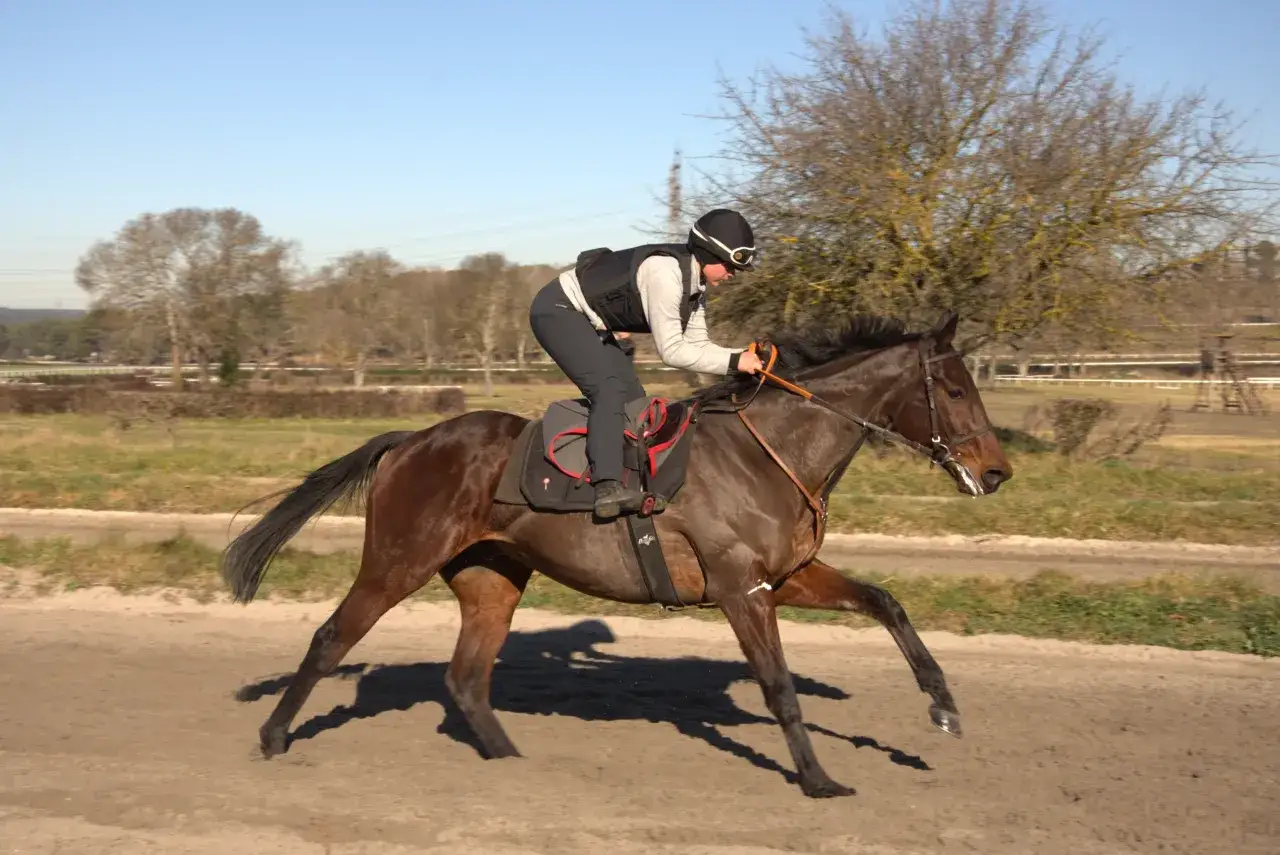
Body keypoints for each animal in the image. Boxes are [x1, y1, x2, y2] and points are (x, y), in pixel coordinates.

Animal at [220, 310, 1012, 798]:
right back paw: (272, 735)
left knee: (467, 677)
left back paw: (510, 761)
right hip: (396, 560)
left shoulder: (785, 577)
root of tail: (409, 440)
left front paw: (943, 708)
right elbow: (779, 687)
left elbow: (887, 602)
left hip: (492, 578)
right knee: (331, 638)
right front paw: (819, 779)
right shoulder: (740, 589)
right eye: (952, 388)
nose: (998, 471)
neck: (772, 452)